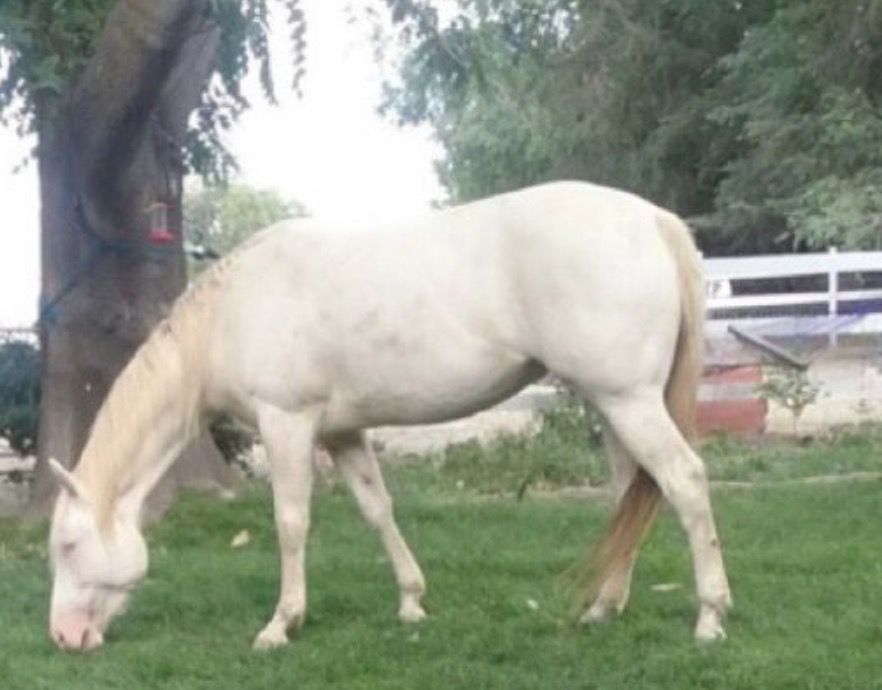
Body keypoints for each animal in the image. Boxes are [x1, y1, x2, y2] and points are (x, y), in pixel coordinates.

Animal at [46, 181, 731, 652]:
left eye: (69, 544)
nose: (63, 637)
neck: (234, 311)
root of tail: (653, 219)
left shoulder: (287, 424)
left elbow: (290, 523)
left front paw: (280, 624)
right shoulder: (343, 433)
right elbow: (378, 510)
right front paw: (411, 603)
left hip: (629, 400)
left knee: (685, 482)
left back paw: (710, 616)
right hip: (614, 405)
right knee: (632, 495)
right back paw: (604, 609)